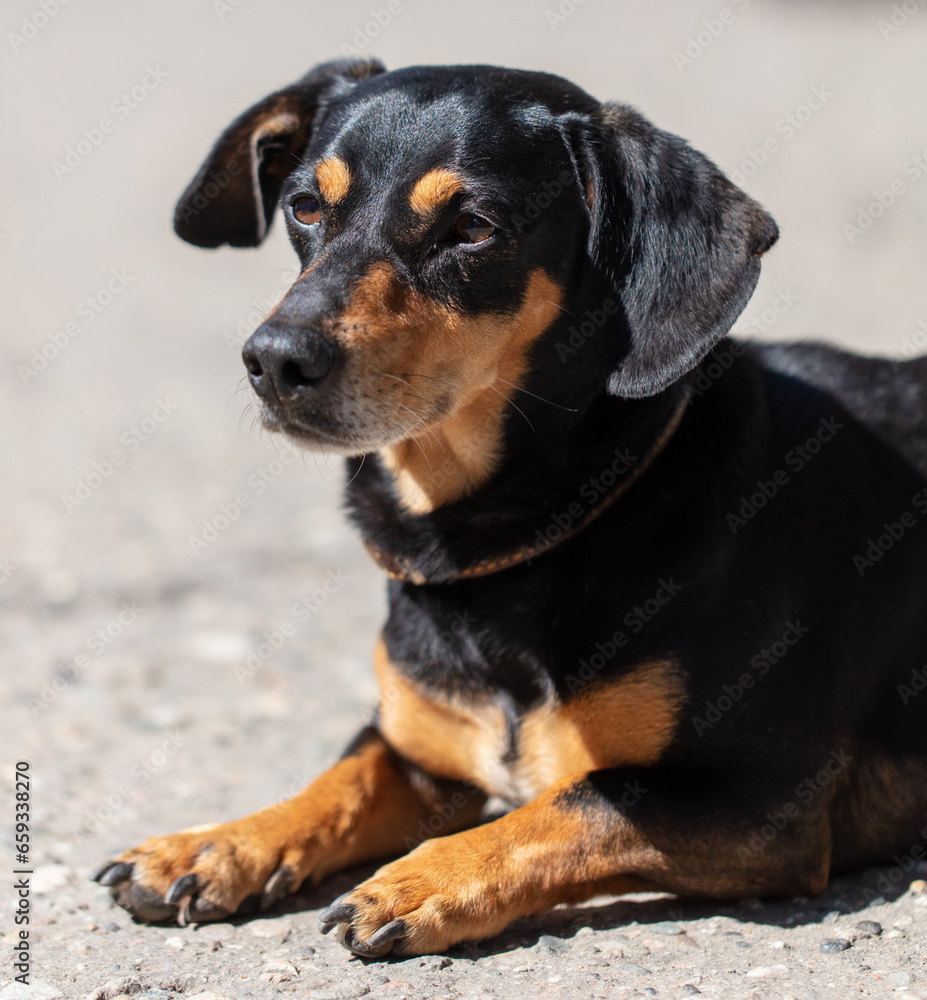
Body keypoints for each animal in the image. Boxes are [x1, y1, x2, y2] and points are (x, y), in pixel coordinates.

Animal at [89, 58, 927, 956]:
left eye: (473, 227)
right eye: (304, 206)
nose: (275, 360)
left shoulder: (762, 802)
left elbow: (575, 803)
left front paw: (422, 880)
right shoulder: (421, 750)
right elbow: (343, 776)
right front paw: (217, 843)